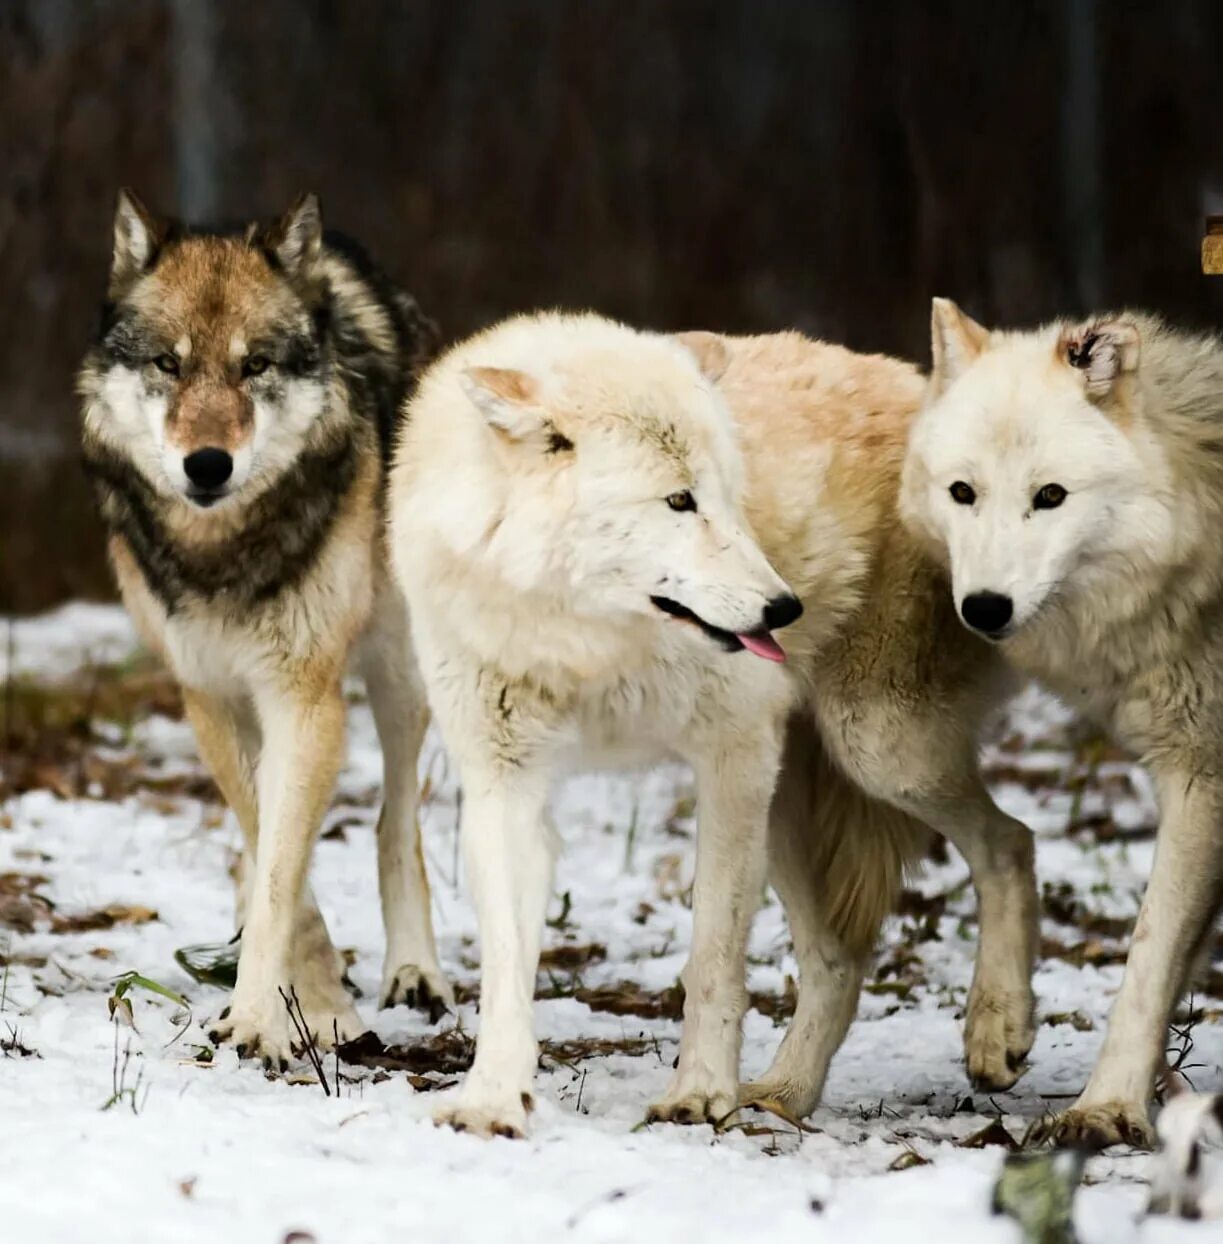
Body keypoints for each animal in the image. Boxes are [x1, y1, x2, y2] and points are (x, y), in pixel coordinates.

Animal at [82, 189, 455, 1064]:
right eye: (170, 364)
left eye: (255, 365)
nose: (207, 464)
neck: (223, 554)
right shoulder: (209, 696)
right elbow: (272, 849)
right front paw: (312, 1002)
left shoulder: (303, 695)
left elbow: (290, 860)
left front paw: (263, 1016)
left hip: (399, 674)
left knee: (394, 819)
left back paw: (414, 972)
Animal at [390, 313, 1035, 1139]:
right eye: (677, 501)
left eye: (730, 497)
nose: (783, 610)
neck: (587, 640)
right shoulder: (503, 783)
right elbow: (506, 968)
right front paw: (491, 1100)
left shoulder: (731, 757)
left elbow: (713, 957)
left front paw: (698, 1094)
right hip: (794, 804)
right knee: (839, 958)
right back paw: (785, 1093)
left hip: (877, 750)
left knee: (1010, 842)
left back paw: (995, 1029)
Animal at [905, 298, 1223, 1144]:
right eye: (962, 492)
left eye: (1049, 496)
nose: (984, 608)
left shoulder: (1200, 779)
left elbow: (1146, 955)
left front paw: (1104, 1109)